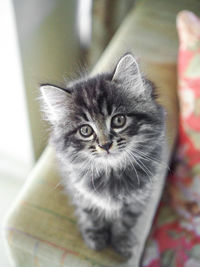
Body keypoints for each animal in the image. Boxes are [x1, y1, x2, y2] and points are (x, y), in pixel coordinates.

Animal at [39, 54, 166, 266]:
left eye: (118, 120)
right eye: (85, 130)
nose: (106, 145)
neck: (111, 173)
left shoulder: (138, 198)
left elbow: (125, 222)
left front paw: (122, 243)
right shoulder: (80, 191)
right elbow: (91, 216)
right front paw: (96, 239)